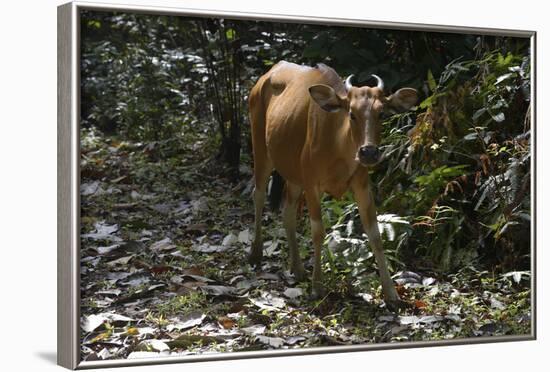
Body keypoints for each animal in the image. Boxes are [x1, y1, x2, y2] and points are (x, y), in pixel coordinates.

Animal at [250, 59, 418, 306]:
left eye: (381, 114)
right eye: (352, 113)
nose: (368, 152)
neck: (338, 147)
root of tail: (267, 74)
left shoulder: (361, 184)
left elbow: (375, 234)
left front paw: (391, 292)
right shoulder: (312, 184)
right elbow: (318, 231)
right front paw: (318, 287)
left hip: (293, 174)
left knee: (287, 212)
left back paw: (298, 269)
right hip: (261, 150)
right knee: (259, 195)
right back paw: (255, 253)